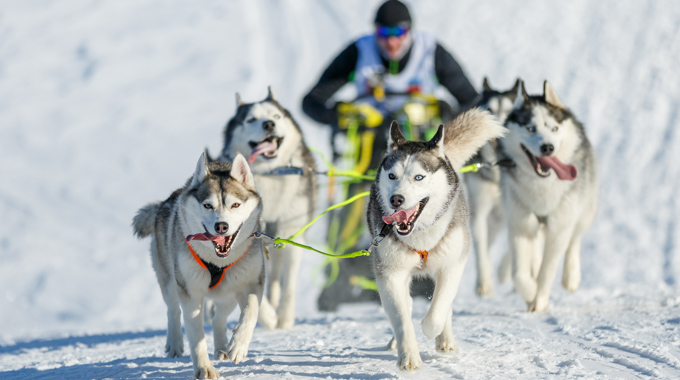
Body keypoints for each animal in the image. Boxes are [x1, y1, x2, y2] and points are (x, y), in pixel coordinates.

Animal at [134, 153, 266, 378]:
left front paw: (238, 345)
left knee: (219, 318)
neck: (218, 261)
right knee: (173, 311)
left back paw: (222, 348)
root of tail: (167, 201)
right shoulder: (191, 292)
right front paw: (204, 368)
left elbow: (250, 312)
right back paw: (175, 344)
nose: (221, 226)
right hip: (170, 282)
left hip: (228, 293)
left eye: (235, 205)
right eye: (207, 206)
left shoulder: (251, 283)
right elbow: (196, 336)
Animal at [219, 88, 318, 330]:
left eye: (276, 116)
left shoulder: (293, 234)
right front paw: (269, 317)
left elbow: (288, 283)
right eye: (251, 119)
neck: (271, 174)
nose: (268, 125)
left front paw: (285, 318)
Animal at [366, 108, 504, 370]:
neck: (420, 235)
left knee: (444, 304)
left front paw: (431, 330)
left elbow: (438, 309)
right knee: (407, 302)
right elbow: (401, 316)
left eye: (419, 177)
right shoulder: (389, 274)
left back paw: (445, 339)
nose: (396, 199)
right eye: (392, 175)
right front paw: (408, 355)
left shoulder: (452, 265)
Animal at [496, 81, 596, 312]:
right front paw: (530, 292)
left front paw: (539, 300)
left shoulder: (559, 229)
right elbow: (519, 274)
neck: (541, 186)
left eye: (554, 128)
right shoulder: (520, 227)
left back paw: (571, 276)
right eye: (530, 128)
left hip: (584, 211)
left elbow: (548, 271)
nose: (547, 147)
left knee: (575, 239)